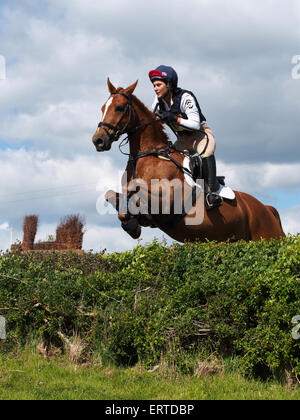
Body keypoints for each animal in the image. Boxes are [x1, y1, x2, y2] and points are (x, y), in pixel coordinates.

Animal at [92, 78, 286, 243]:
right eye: (102, 108)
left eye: (119, 108)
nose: (98, 140)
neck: (147, 156)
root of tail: (266, 209)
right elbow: (112, 194)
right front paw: (131, 223)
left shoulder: (169, 202)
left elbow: (137, 190)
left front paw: (135, 220)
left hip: (267, 236)